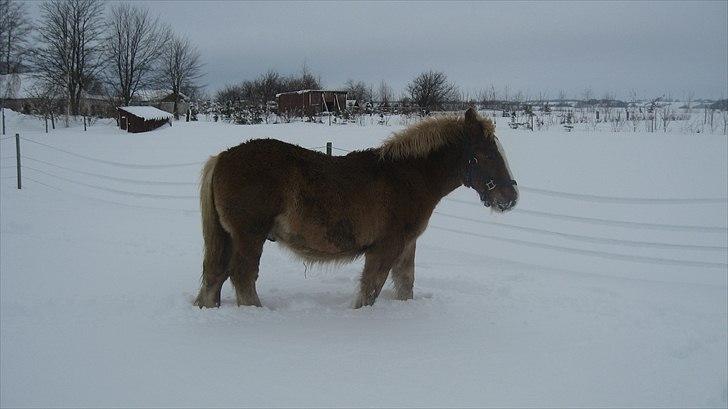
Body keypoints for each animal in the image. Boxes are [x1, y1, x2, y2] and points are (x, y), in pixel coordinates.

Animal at [196, 107, 516, 308]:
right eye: (487, 154)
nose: (510, 196)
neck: (406, 177)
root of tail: (222, 158)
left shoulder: (406, 245)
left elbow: (405, 284)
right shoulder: (384, 247)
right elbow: (370, 289)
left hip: (229, 237)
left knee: (215, 277)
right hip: (249, 237)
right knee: (242, 277)